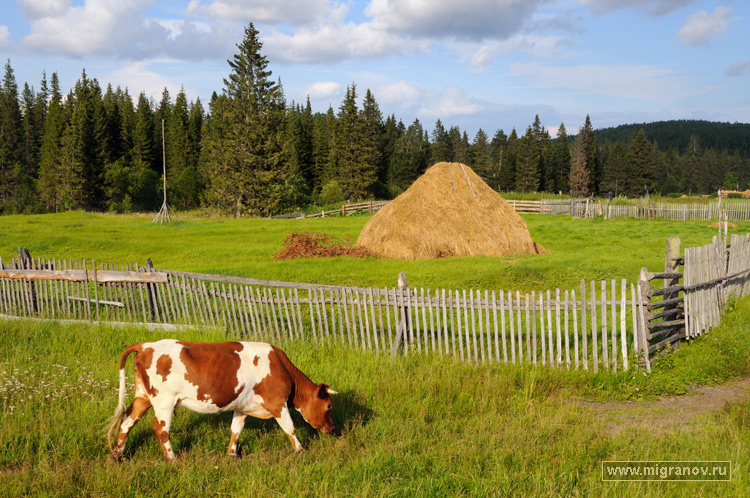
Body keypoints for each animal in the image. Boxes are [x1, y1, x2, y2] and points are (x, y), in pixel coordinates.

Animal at [106, 340, 337, 461]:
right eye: (328, 406)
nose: (332, 428)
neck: (280, 366)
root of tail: (145, 345)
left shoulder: (243, 406)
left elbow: (236, 429)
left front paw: (232, 455)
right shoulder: (277, 404)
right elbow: (290, 428)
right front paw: (301, 451)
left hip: (142, 397)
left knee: (126, 422)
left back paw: (117, 455)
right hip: (164, 401)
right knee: (160, 429)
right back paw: (173, 459)